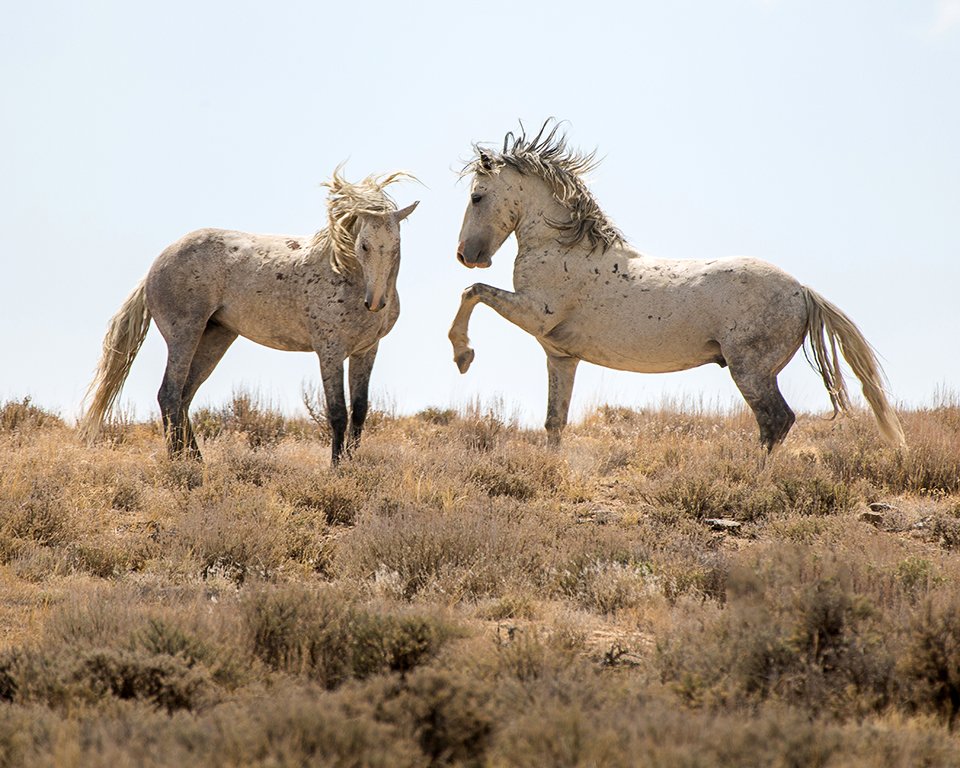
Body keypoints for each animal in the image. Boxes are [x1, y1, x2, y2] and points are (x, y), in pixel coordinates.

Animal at [80, 169, 419, 465]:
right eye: (364, 245)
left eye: (396, 246)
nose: (375, 302)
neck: (343, 273)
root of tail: (157, 264)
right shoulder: (330, 351)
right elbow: (337, 412)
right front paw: (337, 467)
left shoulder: (366, 351)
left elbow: (359, 411)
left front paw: (352, 463)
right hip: (184, 335)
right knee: (169, 395)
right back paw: (179, 462)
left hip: (215, 338)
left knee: (184, 398)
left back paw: (197, 460)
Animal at [449, 122, 905, 451]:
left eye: (477, 197)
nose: (466, 255)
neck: (564, 246)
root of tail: (803, 291)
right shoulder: (561, 356)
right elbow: (554, 421)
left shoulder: (534, 313)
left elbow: (473, 291)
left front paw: (463, 356)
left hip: (750, 369)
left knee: (776, 421)